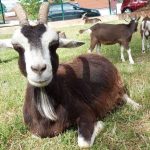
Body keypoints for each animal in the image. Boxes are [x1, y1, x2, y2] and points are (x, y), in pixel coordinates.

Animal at [10, 2, 141, 149]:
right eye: (17, 46)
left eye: (54, 44)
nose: (38, 69)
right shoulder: (36, 132)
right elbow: (36, 135)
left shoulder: (86, 112)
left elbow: (84, 142)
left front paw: (99, 125)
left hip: (118, 84)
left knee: (123, 95)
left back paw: (136, 106)